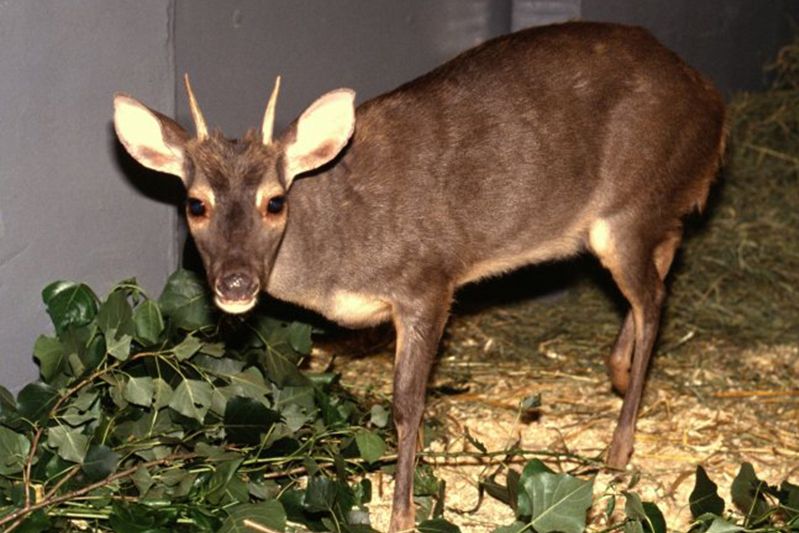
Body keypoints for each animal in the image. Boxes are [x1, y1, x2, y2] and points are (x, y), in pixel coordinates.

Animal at [113, 21, 725, 530]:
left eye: (275, 201)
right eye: (195, 204)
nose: (236, 284)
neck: (337, 240)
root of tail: (713, 104)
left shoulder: (428, 281)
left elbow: (407, 405)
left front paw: (403, 515)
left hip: (624, 211)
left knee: (655, 298)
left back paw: (618, 448)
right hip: (639, 213)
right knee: (667, 252)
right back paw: (617, 370)